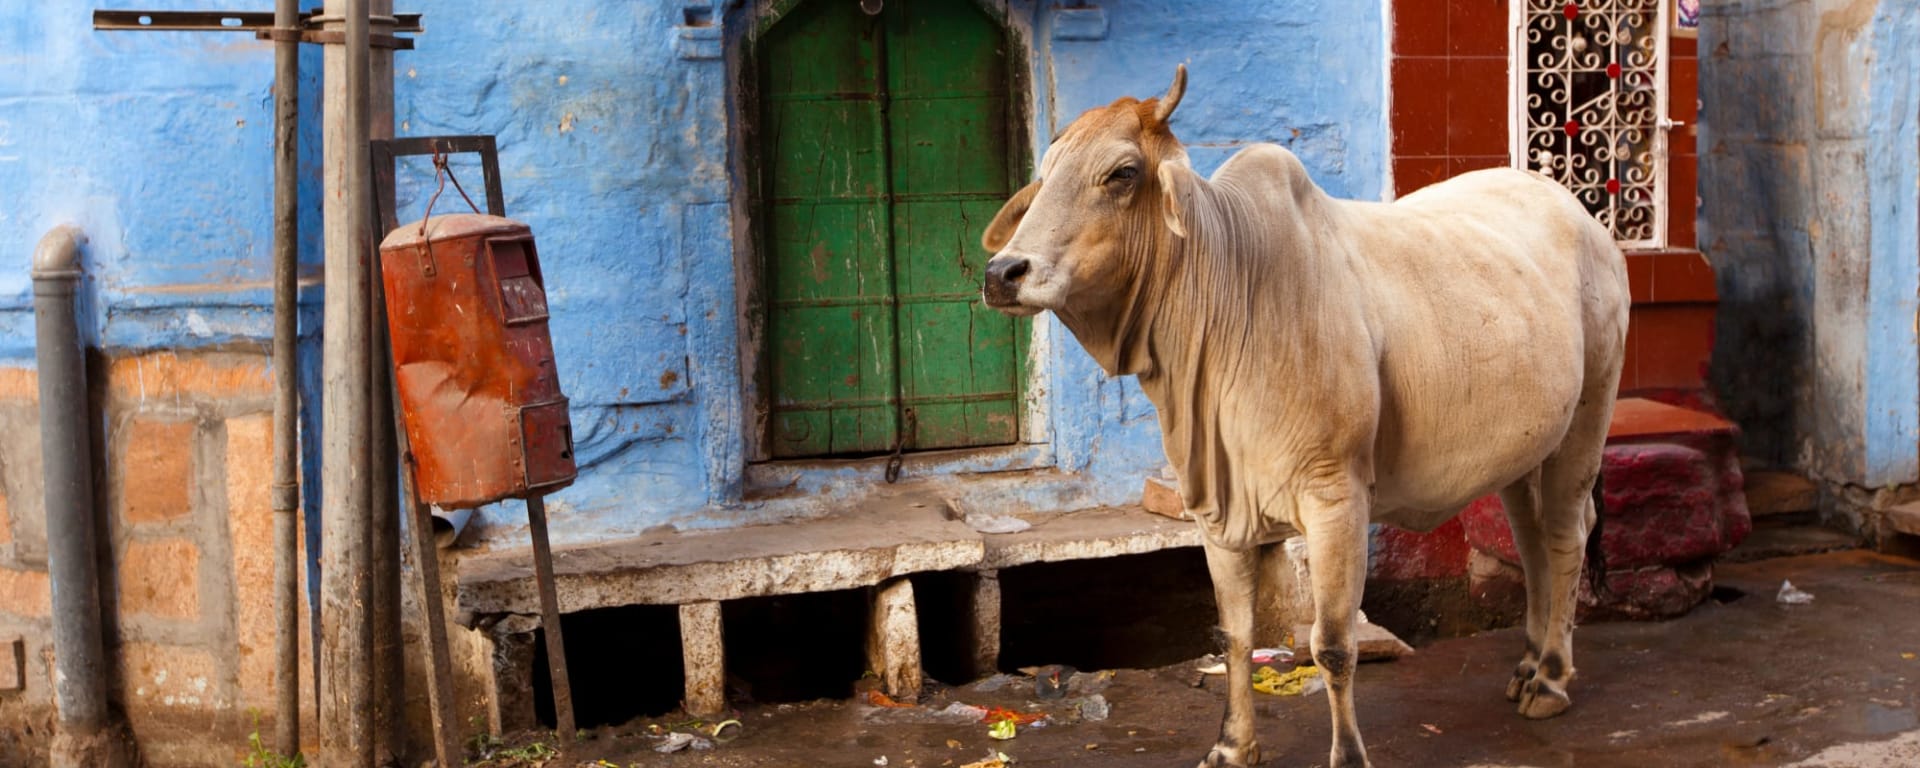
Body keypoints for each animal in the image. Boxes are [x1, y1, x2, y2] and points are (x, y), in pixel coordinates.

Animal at [980, 65, 1628, 768]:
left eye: (1122, 172)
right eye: (1046, 171)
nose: (1002, 272)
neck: (1230, 293)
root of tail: (1583, 217)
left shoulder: (1335, 499)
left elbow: (1333, 646)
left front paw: (1348, 756)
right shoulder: (1217, 511)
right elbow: (1235, 637)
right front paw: (1232, 745)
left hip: (1588, 417)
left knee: (1565, 535)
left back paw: (1551, 678)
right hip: (1524, 450)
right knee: (1532, 541)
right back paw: (1529, 661)